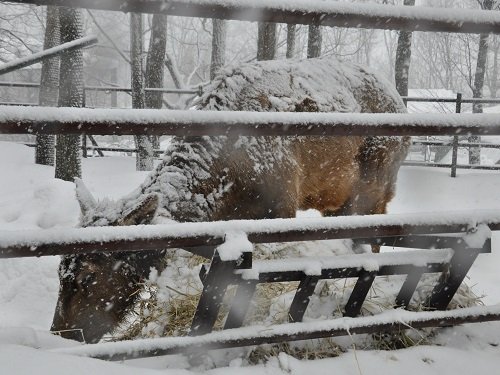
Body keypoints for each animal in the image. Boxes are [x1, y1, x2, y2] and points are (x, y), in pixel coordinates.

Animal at [50, 56, 410, 344]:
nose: (63, 332)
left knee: (372, 241)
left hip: (374, 189)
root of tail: (399, 103)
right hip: (337, 203)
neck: (226, 182)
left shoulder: (281, 208)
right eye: (60, 267)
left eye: (88, 276)